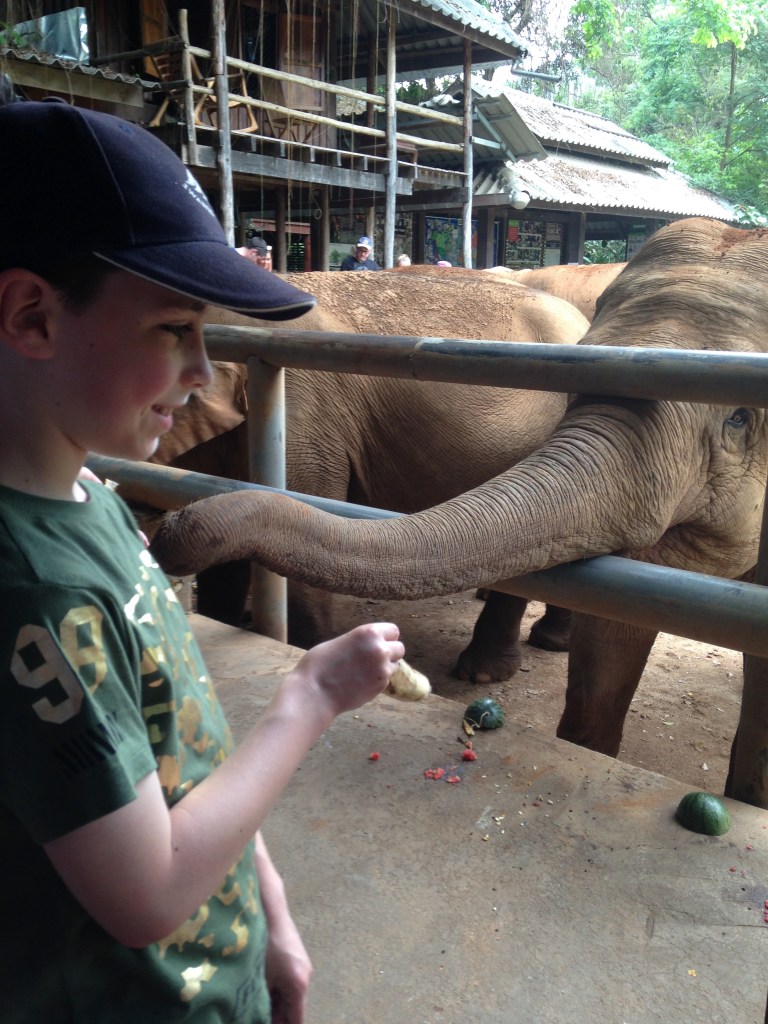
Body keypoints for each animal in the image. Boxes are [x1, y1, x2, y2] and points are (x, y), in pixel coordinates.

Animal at [141, 270, 590, 674]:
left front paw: (313, 654)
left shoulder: (302, 416)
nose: (158, 534)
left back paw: (482, 672)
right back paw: (548, 642)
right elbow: (224, 560)